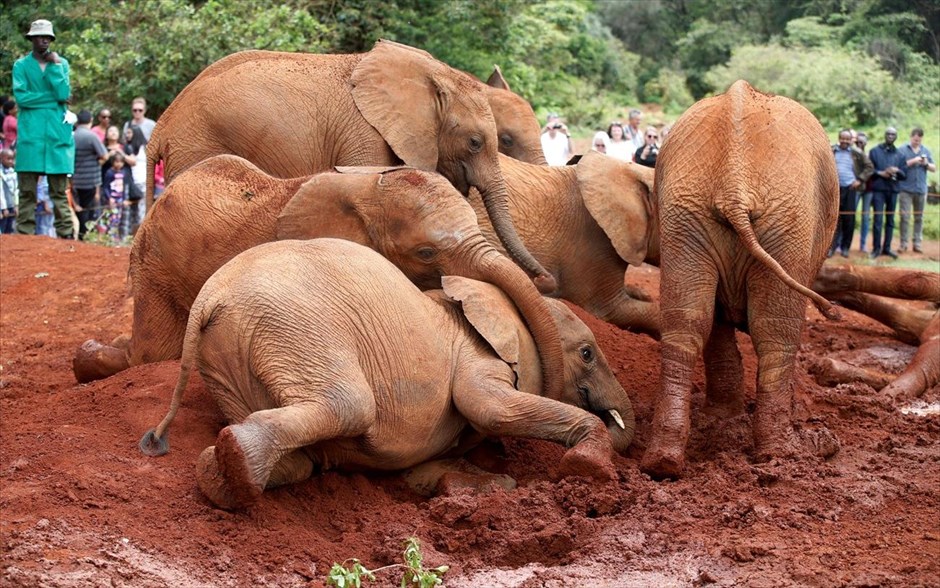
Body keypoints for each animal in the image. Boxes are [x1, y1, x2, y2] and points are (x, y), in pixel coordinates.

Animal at [73, 157, 566, 400]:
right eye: (426, 252)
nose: (547, 281)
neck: (367, 189)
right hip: (155, 260)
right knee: (153, 352)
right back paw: (90, 358)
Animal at [139, 238, 635, 510]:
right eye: (587, 354)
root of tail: (210, 298)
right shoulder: (476, 356)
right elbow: (491, 409)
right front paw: (588, 467)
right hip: (296, 328)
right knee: (351, 406)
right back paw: (235, 465)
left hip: (229, 360)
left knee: (303, 460)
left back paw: (220, 474)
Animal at [145, 40, 553, 290]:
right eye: (475, 143)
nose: (546, 281)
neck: (431, 74)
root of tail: (161, 126)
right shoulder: (364, 133)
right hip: (198, 146)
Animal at [641, 80, 841, 478]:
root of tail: (734, 184)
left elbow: (709, 319)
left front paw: (722, 421)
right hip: (790, 219)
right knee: (775, 331)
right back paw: (789, 453)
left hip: (685, 214)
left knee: (686, 322)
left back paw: (663, 463)